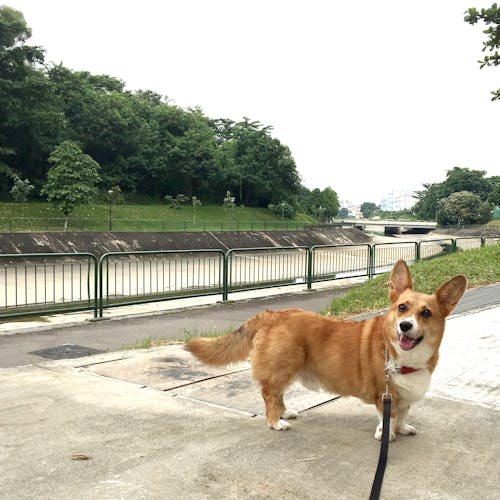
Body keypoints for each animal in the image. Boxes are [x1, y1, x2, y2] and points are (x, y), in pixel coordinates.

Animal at [186, 260, 466, 440]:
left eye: (426, 313)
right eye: (402, 307)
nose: (405, 326)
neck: (403, 356)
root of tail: (271, 314)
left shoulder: (405, 397)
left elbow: (402, 415)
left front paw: (401, 428)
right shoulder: (383, 395)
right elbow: (387, 416)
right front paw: (385, 434)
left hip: (289, 368)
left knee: (278, 395)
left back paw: (285, 412)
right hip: (283, 366)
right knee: (269, 395)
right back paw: (276, 422)